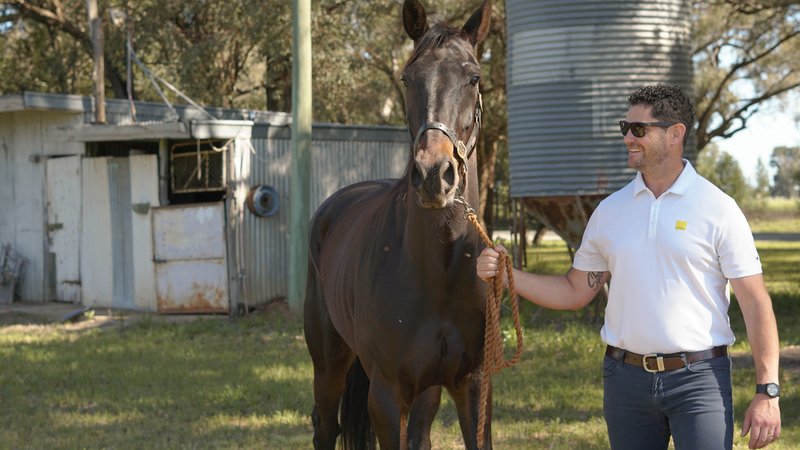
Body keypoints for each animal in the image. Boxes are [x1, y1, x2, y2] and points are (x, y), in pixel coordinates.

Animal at [304, 1, 490, 448]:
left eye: (474, 77)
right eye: (408, 78)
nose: (433, 175)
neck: (440, 271)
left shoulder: (474, 386)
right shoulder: (387, 395)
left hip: (425, 391)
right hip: (329, 364)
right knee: (325, 425)